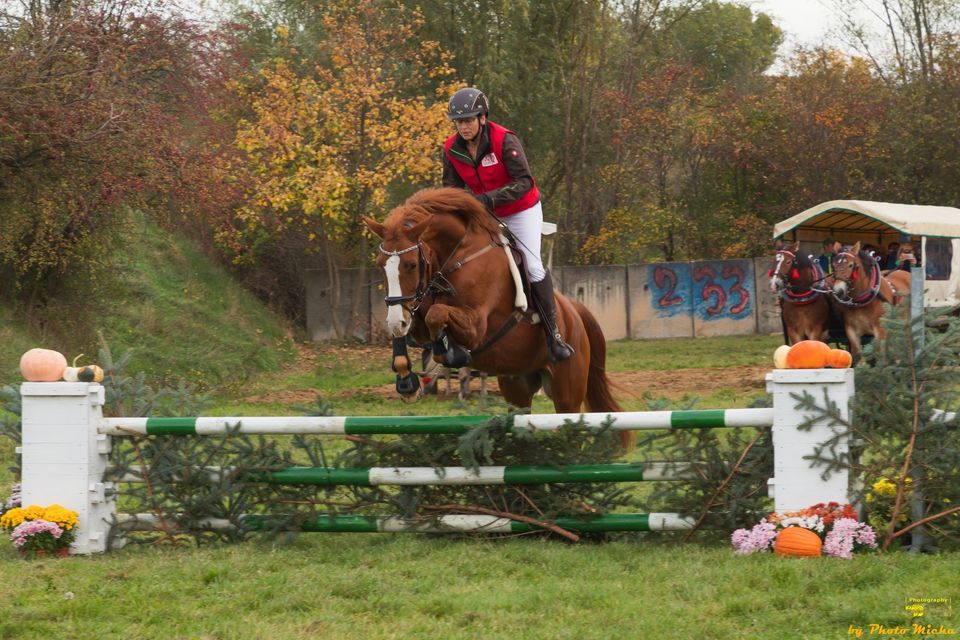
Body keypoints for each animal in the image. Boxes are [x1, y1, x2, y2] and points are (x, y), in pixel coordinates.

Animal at [362, 187, 629, 446]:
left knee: (569, 423)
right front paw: (407, 383)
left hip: (567, 392)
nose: (396, 320)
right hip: (516, 386)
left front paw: (452, 353)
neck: (456, 258)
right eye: (380, 264)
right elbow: (415, 326)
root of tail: (575, 310)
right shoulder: (416, 312)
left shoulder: (476, 327)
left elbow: (436, 315)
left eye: (411, 265)